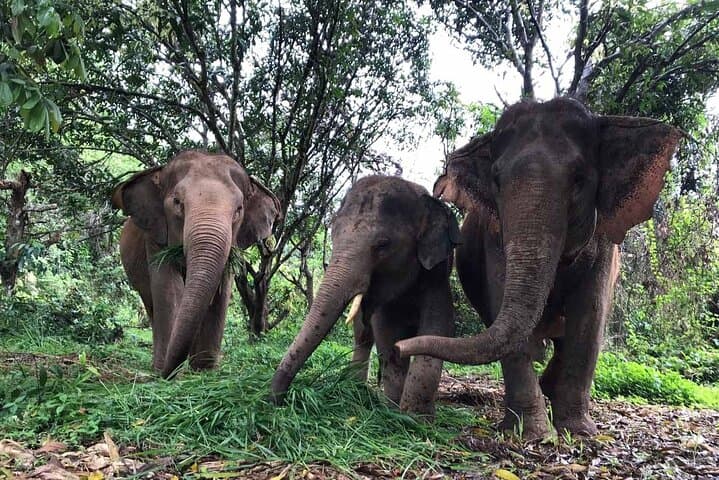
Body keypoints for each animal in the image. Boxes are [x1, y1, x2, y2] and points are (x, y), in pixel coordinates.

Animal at [112, 150, 280, 378]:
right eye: (177, 202)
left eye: (238, 210)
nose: (166, 373)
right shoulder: (155, 236)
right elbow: (169, 288)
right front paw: (166, 372)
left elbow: (220, 295)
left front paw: (204, 372)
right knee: (151, 304)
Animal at [270, 175, 460, 416]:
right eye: (333, 235)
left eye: (383, 244)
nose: (276, 400)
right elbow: (387, 334)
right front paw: (394, 411)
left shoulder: (437, 275)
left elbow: (437, 328)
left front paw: (415, 418)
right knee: (363, 337)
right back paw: (356, 388)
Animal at [395, 97, 683, 438]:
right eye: (496, 180)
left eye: (579, 179)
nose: (399, 348)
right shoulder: (495, 235)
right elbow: (502, 304)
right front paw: (532, 434)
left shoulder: (604, 243)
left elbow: (590, 315)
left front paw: (578, 432)